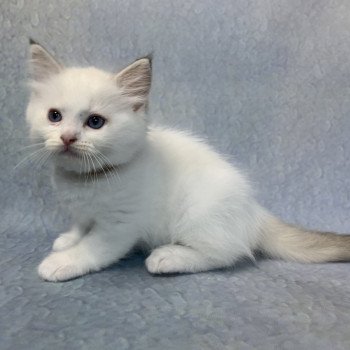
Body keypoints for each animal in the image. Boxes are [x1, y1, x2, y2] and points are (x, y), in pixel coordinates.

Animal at [25, 41, 350, 282]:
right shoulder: (83, 211)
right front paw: (70, 239)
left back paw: (169, 257)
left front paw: (63, 260)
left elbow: (94, 247)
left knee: (226, 254)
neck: (88, 180)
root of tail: (255, 211)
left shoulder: (120, 225)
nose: (67, 137)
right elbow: (82, 225)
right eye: (54, 116)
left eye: (95, 122)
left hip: (198, 214)